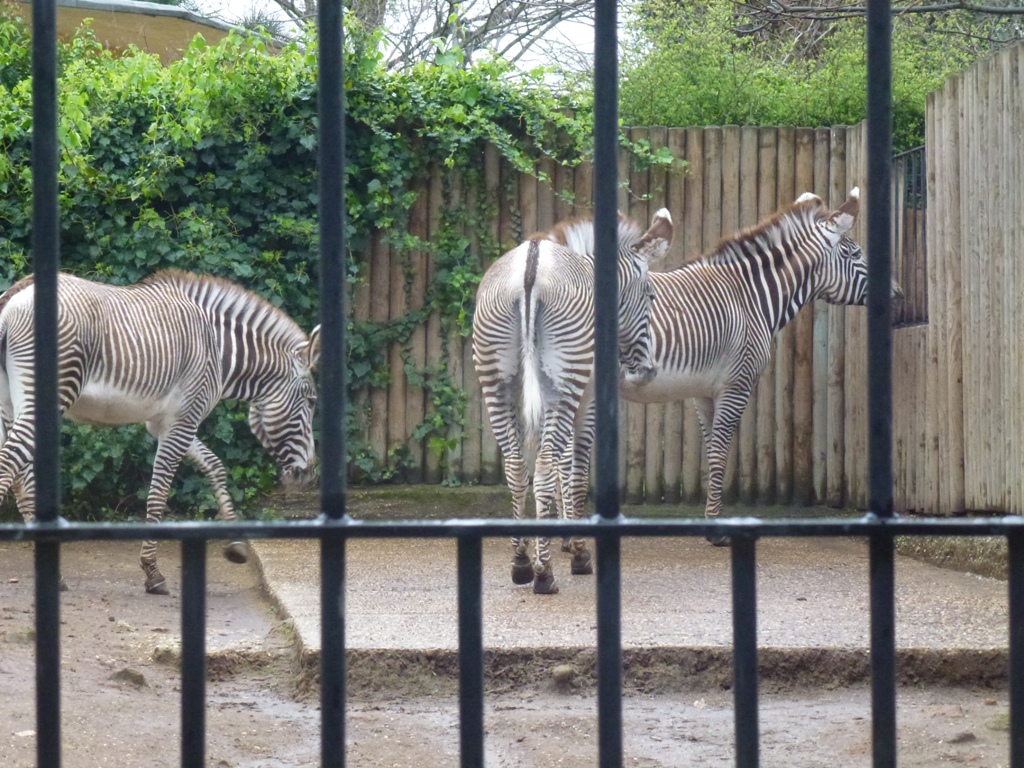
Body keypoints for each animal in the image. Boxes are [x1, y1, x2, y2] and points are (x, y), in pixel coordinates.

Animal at [0, 270, 320, 593]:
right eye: (312, 401)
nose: (309, 474)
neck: (217, 350)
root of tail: (15, 296)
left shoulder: (172, 422)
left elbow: (215, 466)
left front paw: (235, 545)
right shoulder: (183, 420)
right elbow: (159, 493)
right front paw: (152, 571)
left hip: (10, 404)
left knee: (20, 476)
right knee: (9, 463)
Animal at [473, 209, 673, 594]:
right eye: (651, 296)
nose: (648, 371)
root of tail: (530, 266)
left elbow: (562, 469)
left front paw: (558, 535)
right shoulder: (588, 397)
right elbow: (575, 473)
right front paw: (578, 551)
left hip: (496, 380)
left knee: (517, 466)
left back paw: (521, 563)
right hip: (565, 381)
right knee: (544, 465)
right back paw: (543, 574)